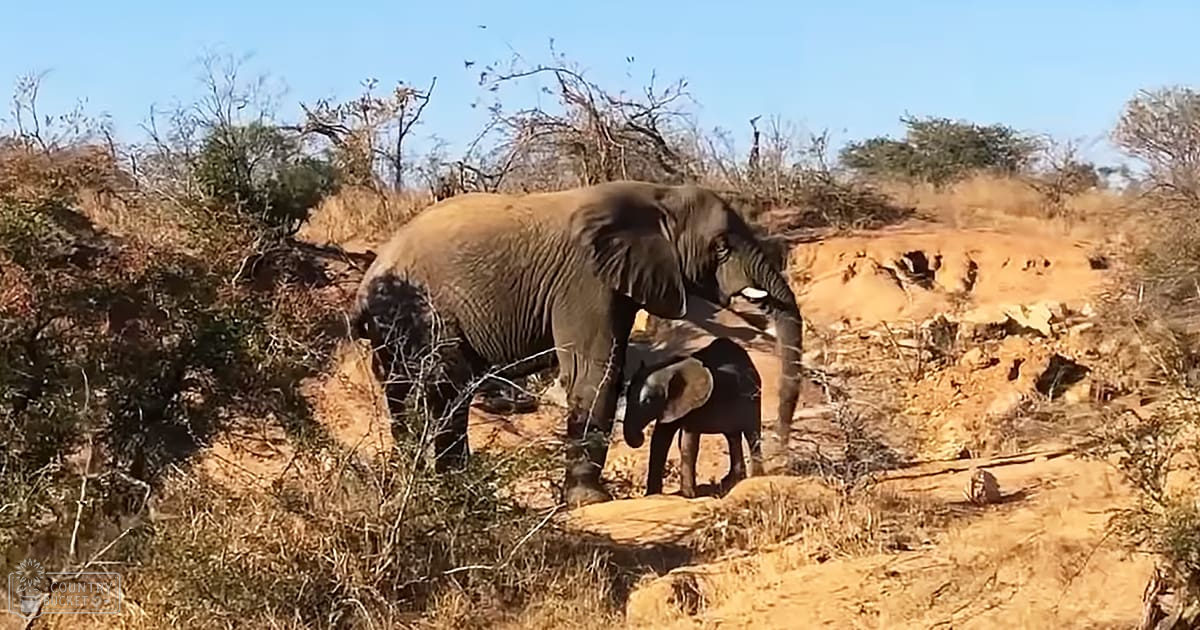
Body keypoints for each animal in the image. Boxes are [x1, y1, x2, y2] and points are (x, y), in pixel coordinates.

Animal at [623, 337, 764, 498]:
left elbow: (687, 442)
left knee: (752, 435)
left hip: (754, 397)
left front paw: (687, 496)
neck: (670, 369)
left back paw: (755, 478)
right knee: (733, 437)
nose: (640, 436)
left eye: (647, 402)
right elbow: (660, 440)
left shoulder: (695, 404)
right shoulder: (671, 404)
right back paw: (731, 482)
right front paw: (652, 496)